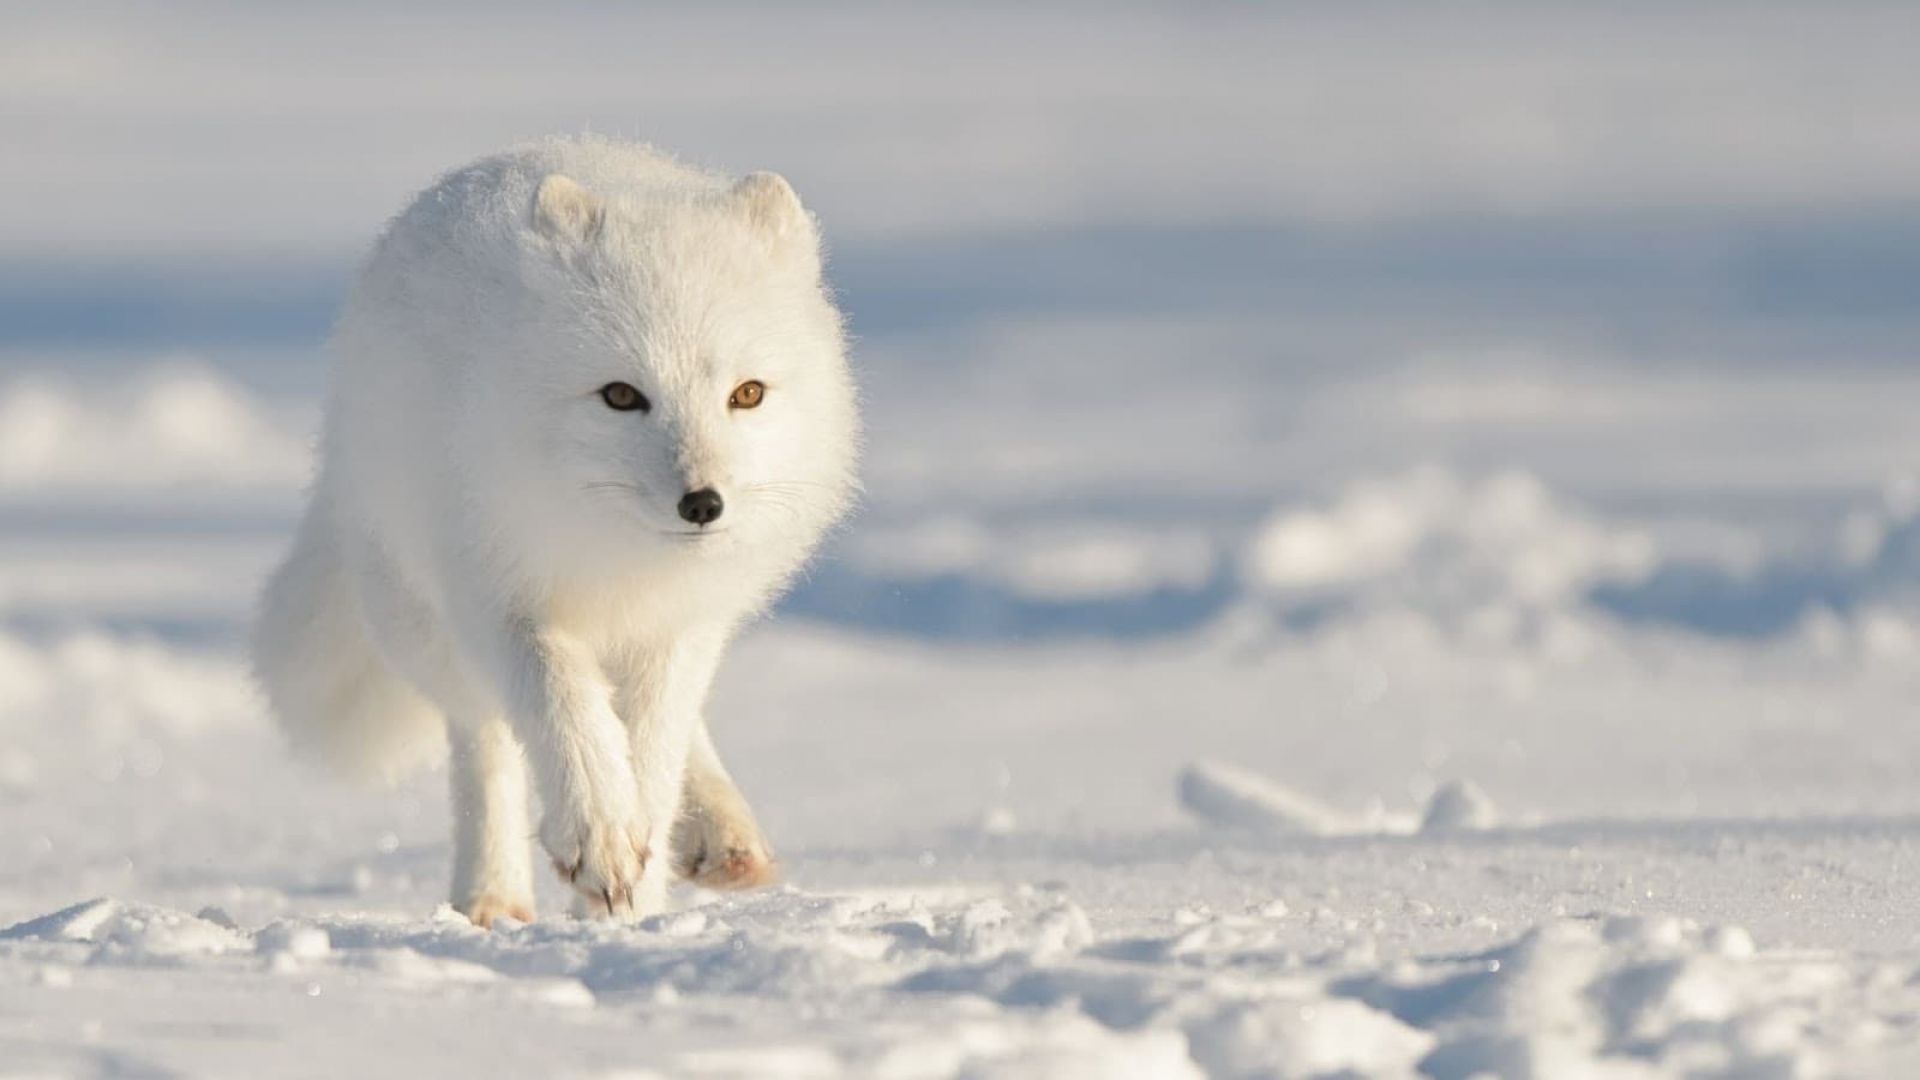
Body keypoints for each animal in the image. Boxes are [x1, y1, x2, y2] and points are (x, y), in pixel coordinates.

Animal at [251, 138, 860, 922]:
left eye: (747, 394)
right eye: (621, 396)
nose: (703, 504)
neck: (613, 557)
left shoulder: (681, 624)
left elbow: (653, 754)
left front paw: (630, 907)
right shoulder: (501, 601)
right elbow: (560, 712)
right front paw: (599, 839)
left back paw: (718, 835)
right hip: (421, 622)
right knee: (484, 739)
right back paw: (491, 896)